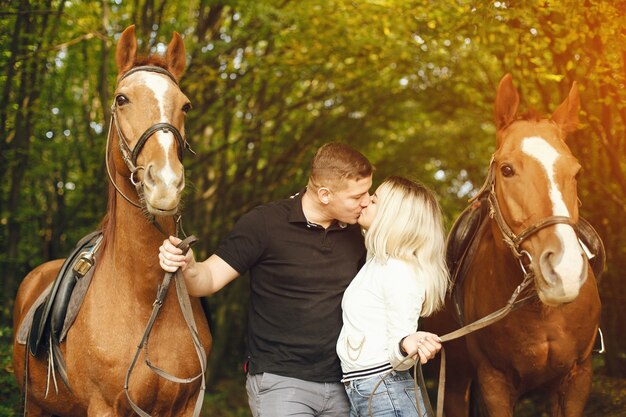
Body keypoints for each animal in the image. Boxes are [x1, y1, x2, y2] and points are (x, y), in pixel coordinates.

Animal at [11, 26, 212, 416]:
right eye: (122, 99)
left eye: (185, 105)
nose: (165, 183)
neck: (146, 298)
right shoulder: (104, 406)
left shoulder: (185, 406)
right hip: (34, 405)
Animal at [424, 75, 600, 416]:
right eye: (506, 169)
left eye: (576, 172)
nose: (564, 271)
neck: (540, 310)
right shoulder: (494, 383)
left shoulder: (577, 379)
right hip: (455, 379)